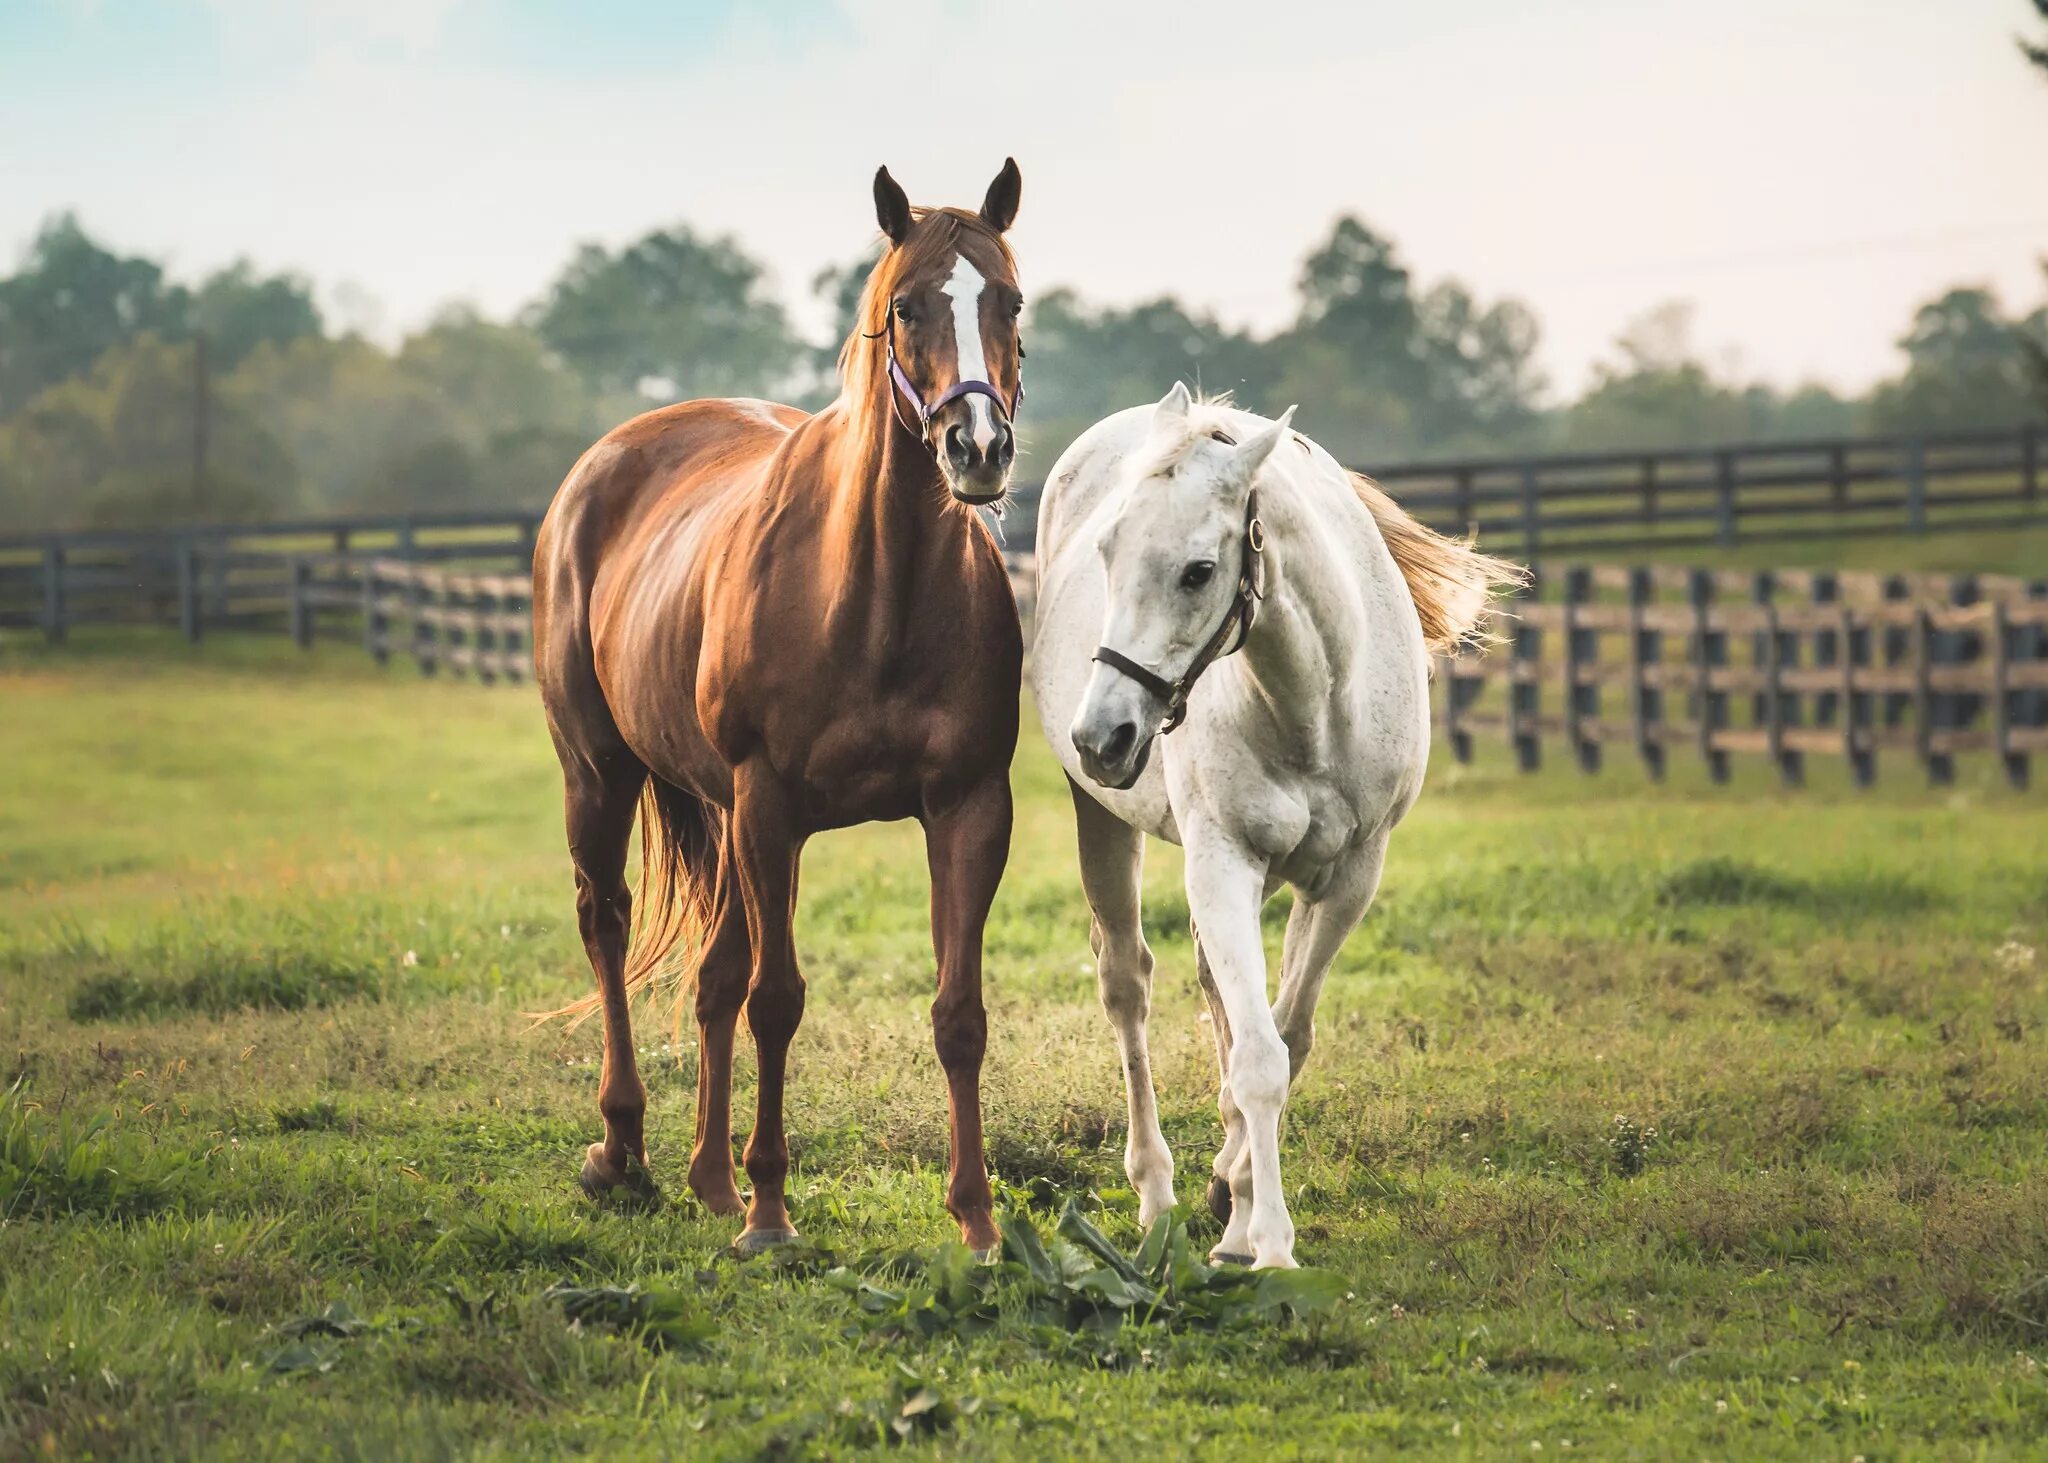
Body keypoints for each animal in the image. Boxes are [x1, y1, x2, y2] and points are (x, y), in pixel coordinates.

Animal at [536, 162, 1032, 1254]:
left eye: (1011, 302)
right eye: (906, 306)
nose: (976, 448)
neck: (874, 591)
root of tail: (599, 465)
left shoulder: (969, 808)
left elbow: (958, 1011)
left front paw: (976, 1221)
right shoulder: (769, 805)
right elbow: (777, 1000)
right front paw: (770, 1211)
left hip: (721, 817)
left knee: (711, 973)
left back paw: (708, 1177)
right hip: (601, 777)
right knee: (608, 924)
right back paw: (622, 1148)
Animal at [1024, 381, 1523, 1262]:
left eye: (1198, 571)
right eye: (1107, 550)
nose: (1102, 736)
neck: (1312, 703)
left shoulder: (1349, 879)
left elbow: (1286, 1038)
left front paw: (1240, 1200)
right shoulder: (1225, 861)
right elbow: (1260, 1056)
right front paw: (1270, 1243)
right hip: (1106, 823)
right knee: (1128, 985)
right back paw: (1157, 1192)